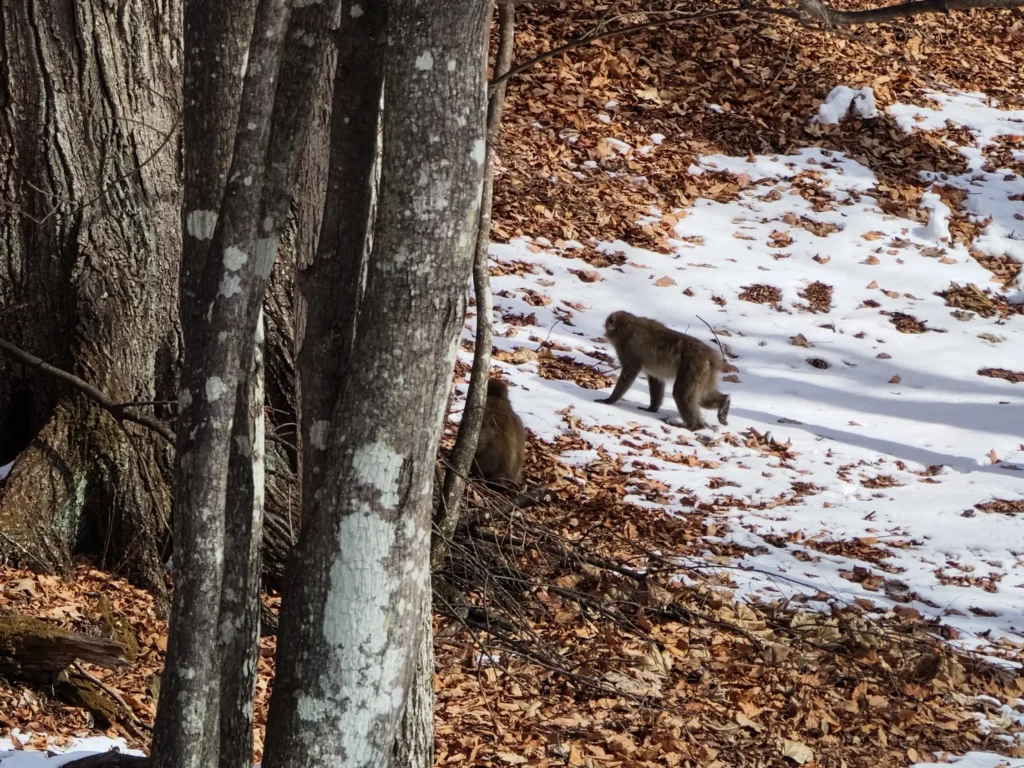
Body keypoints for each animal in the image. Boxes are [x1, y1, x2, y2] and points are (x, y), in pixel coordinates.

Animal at [597, 310, 731, 431]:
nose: (605, 333)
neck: (627, 325)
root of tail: (710, 356)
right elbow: (656, 380)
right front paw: (652, 408)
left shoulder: (628, 347)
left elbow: (629, 372)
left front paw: (609, 400)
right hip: (705, 373)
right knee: (703, 396)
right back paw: (724, 403)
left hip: (694, 367)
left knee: (681, 393)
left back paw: (694, 426)